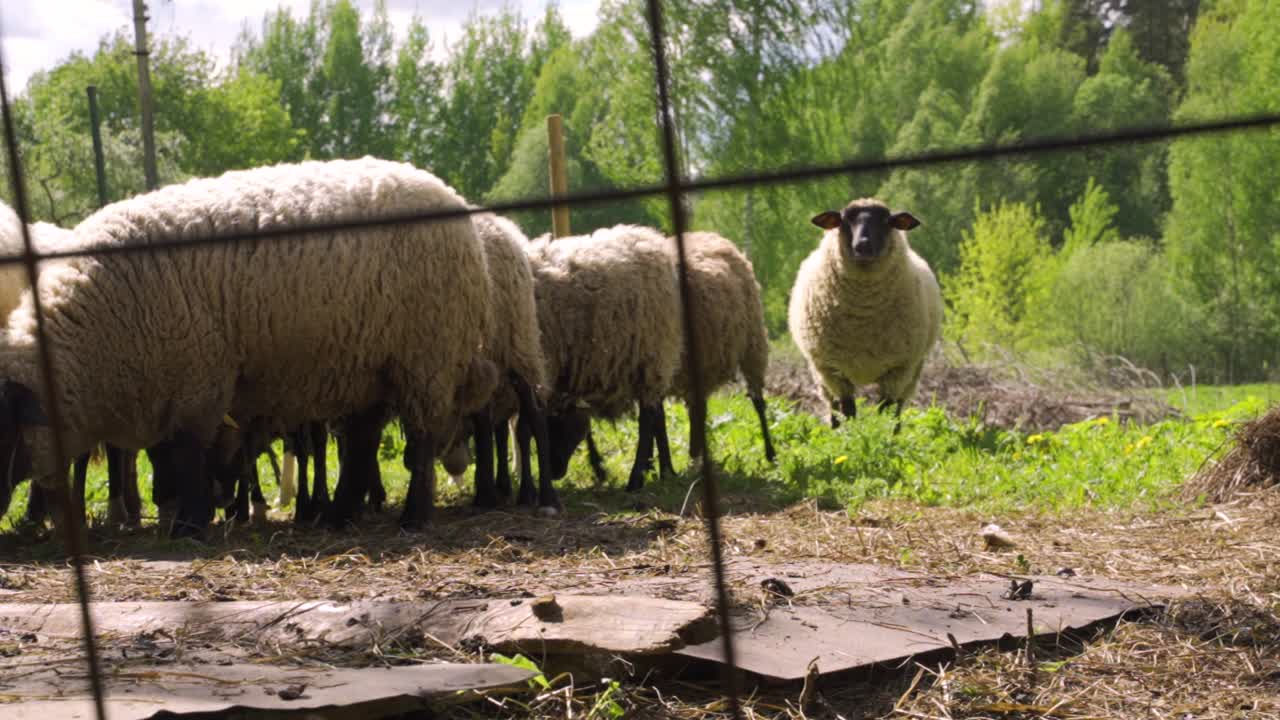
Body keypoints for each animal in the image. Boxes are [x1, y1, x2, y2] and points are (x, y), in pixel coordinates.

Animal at [0, 156, 496, 537]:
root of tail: (451, 198)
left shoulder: (198, 379)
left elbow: (189, 454)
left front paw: (190, 525)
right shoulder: (166, 386)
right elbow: (172, 456)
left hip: (425, 356)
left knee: (421, 437)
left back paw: (413, 516)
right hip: (371, 364)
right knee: (363, 441)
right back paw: (339, 515)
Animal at [523, 224, 683, 491]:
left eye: (556, 426)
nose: (555, 471)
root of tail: (649, 239)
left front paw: (599, 467)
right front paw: (598, 466)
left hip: (650, 353)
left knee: (648, 418)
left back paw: (638, 477)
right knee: (657, 412)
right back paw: (663, 470)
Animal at [787, 198, 941, 430]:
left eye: (887, 221)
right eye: (844, 220)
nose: (863, 245)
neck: (863, 318)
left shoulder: (898, 369)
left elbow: (886, 411)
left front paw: (884, 435)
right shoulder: (833, 369)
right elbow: (847, 410)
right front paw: (850, 436)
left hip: (913, 371)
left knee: (898, 407)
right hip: (821, 374)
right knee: (833, 407)